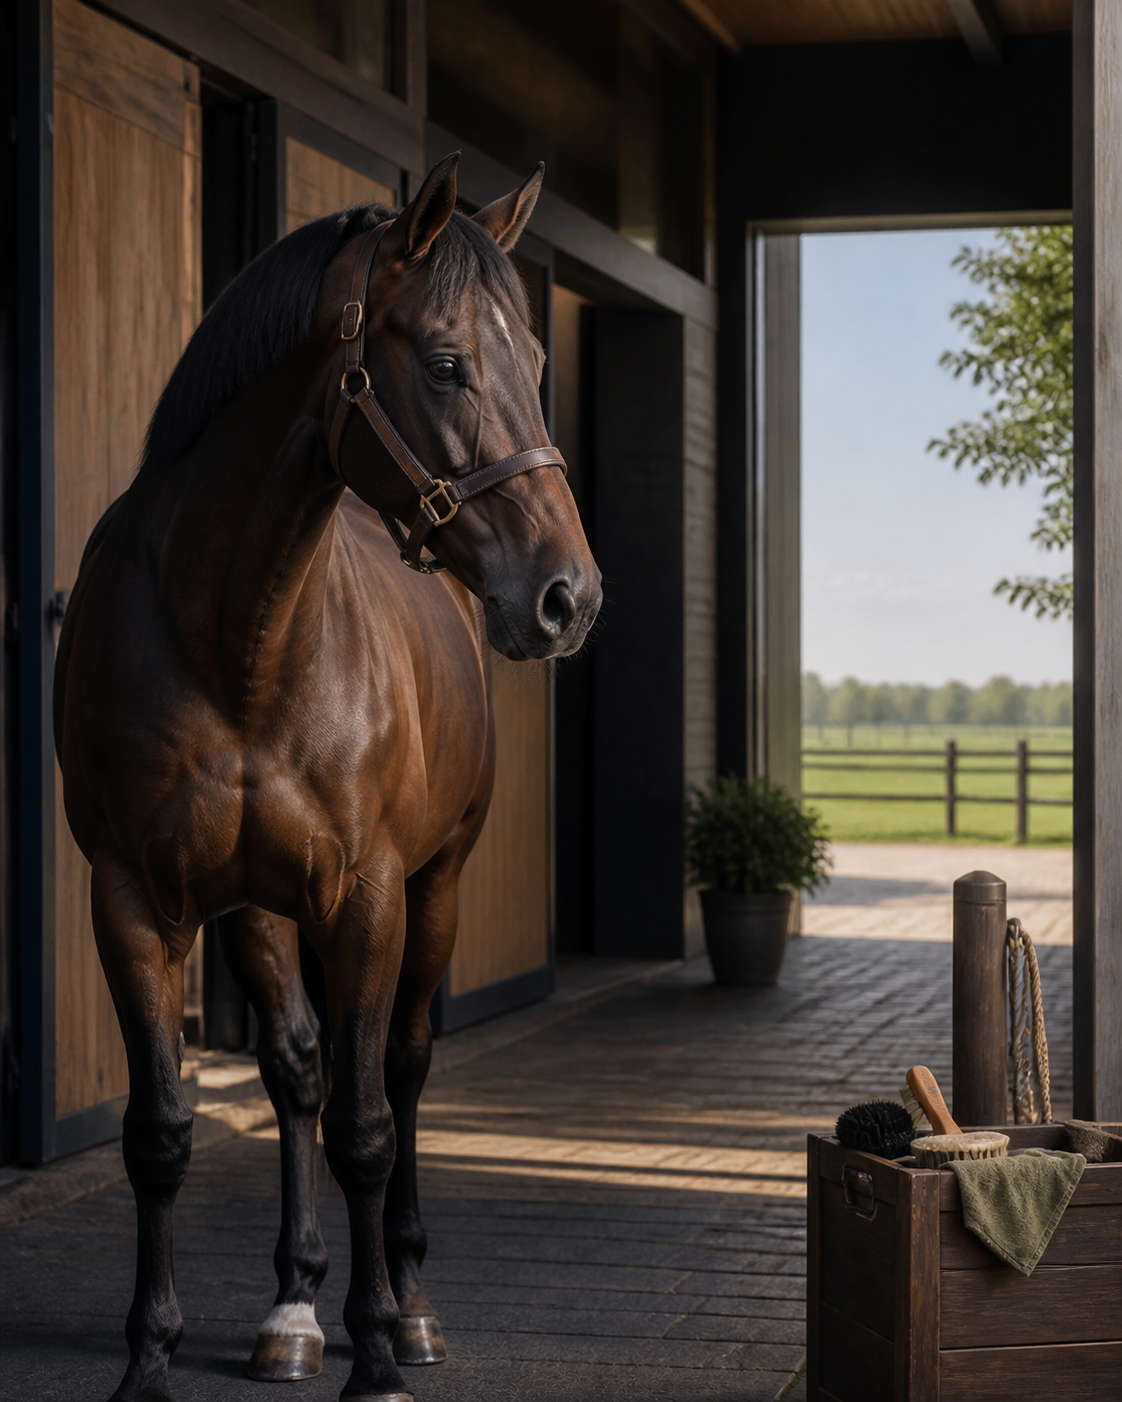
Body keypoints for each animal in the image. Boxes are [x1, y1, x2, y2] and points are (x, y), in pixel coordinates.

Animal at [54, 153, 600, 1402]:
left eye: (541, 365)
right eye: (445, 361)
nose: (569, 596)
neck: (235, 637)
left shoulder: (369, 897)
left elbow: (366, 1126)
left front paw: (382, 1356)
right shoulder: (135, 903)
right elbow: (164, 1130)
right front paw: (150, 1360)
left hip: (436, 888)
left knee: (400, 1069)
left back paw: (409, 1304)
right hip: (259, 904)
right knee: (297, 1066)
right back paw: (295, 1310)